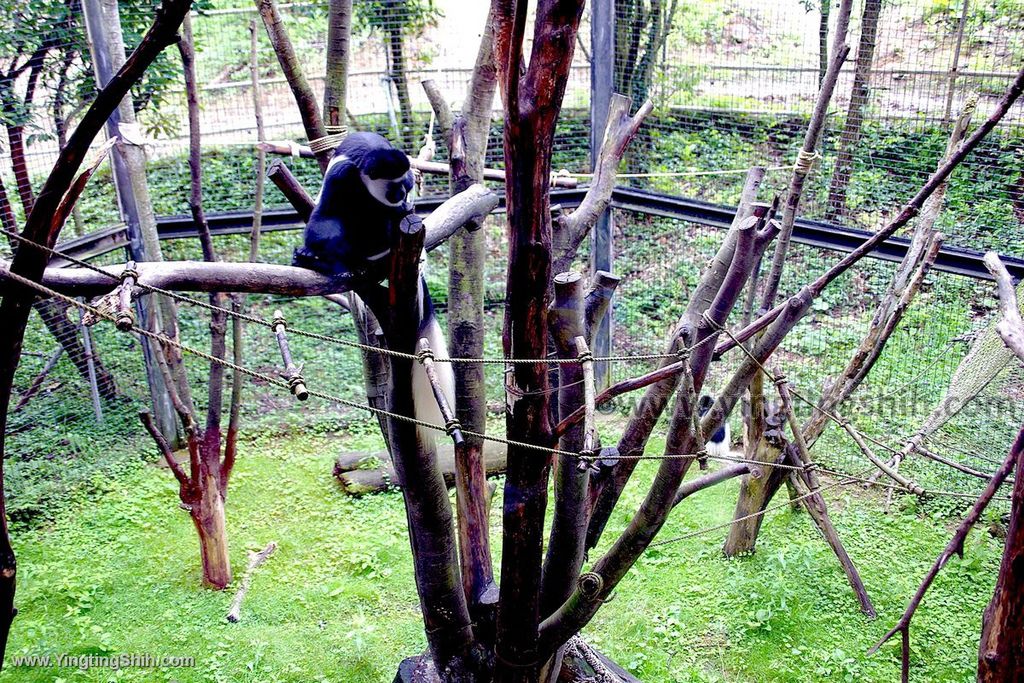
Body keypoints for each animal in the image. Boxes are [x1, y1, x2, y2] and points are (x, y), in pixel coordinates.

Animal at [292, 132, 452, 444]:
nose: (402, 193)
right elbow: (327, 213)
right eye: (393, 186)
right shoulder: (341, 177)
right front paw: (312, 254)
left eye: (405, 183)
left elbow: (398, 213)